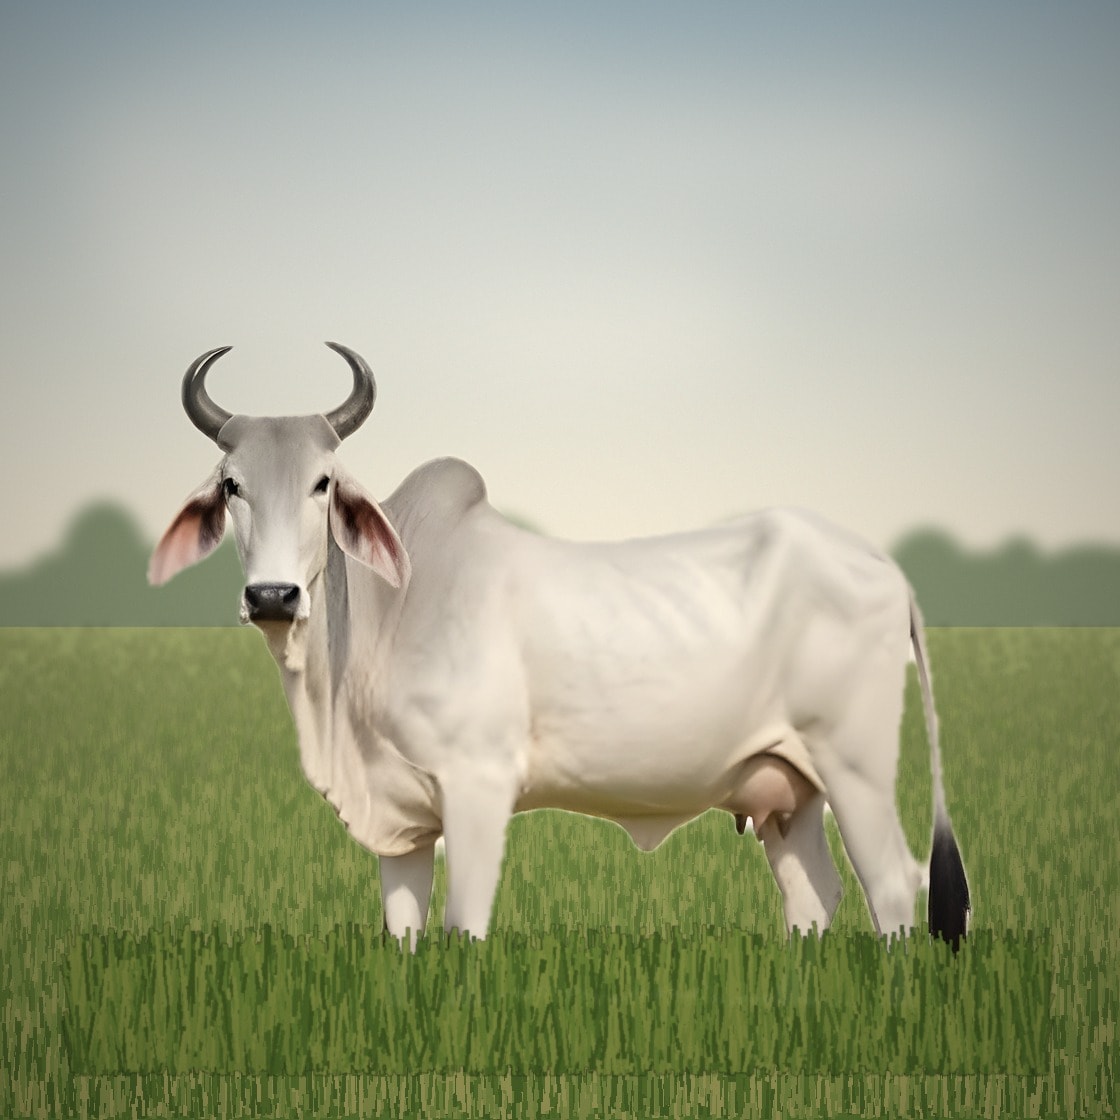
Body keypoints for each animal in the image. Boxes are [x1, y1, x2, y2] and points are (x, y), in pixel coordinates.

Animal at [150, 343, 970, 949]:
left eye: (323, 483)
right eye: (231, 486)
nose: (273, 597)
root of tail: (883, 565)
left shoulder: (478, 788)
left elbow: (463, 928)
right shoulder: (401, 830)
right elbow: (404, 934)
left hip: (855, 768)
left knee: (894, 889)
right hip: (788, 791)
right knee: (814, 898)